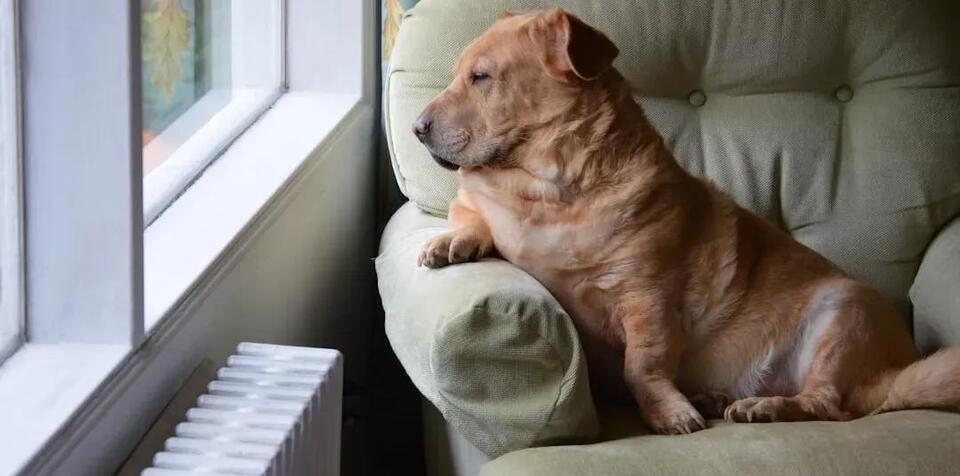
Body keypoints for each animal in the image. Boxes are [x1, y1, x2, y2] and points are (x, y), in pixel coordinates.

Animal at [412, 7, 960, 434]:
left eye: (481, 77)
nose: (416, 128)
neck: (550, 193)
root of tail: (894, 373)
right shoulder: (478, 204)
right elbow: (470, 217)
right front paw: (453, 242)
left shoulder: (648, 300)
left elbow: (642, 367)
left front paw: (668, 412)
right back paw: (715, 397)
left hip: (842, 313)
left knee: (826, 404)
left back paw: (761, 406)